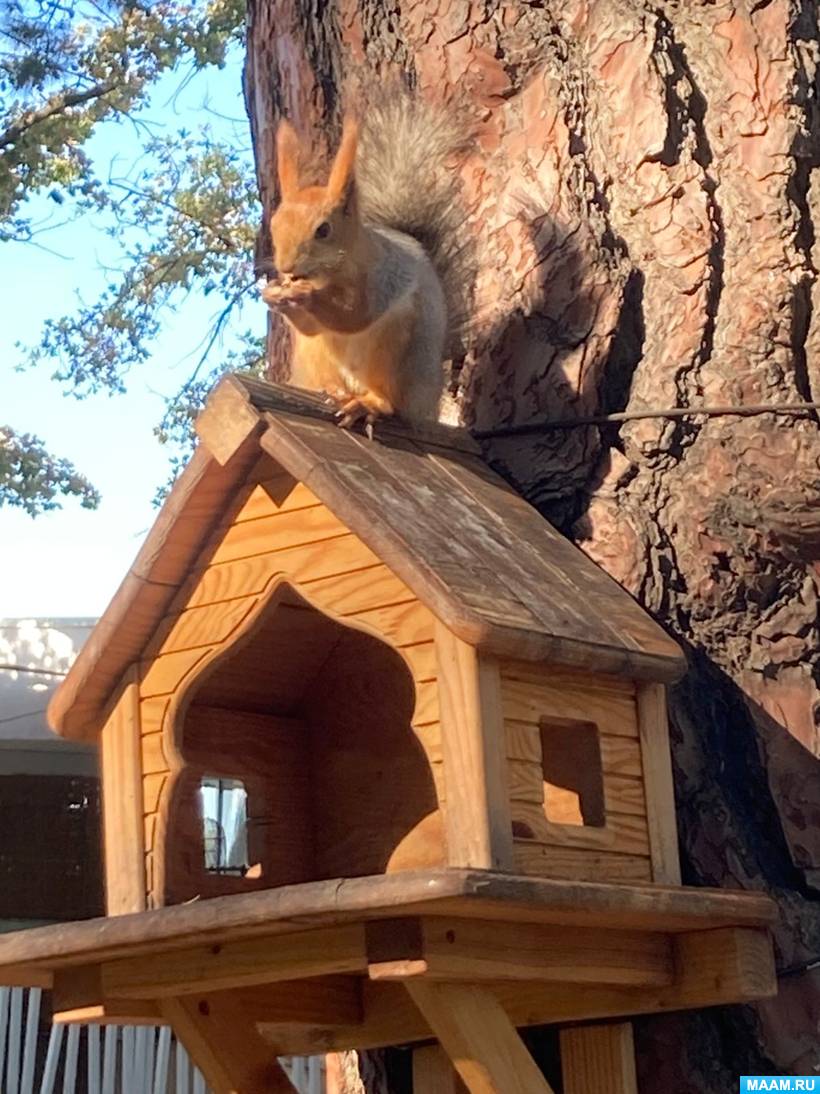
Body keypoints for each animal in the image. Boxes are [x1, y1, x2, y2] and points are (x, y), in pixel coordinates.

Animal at [260, 89, 472, 431]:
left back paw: (368, 404)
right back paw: (332, 390)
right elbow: (312, 327)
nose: (286, 269)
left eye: (323, 230)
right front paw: (274, 294)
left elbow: (355, 314)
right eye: (275, 224)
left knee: (389, 401)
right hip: (314, 356)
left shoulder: (383, 277)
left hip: (399, 356)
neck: (329, 275)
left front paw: (304, 296)